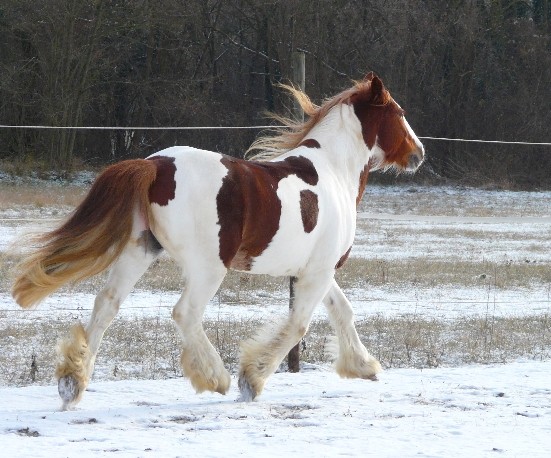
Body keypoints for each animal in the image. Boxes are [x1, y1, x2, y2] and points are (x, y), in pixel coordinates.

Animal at [10, 73, 424, 410]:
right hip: (209, 266)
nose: (419, 152)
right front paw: (251, 380)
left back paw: (71, 384)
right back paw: (215, 377)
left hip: (140, 251)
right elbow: (298, 326)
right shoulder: (317, 273)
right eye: (399, 112)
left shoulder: (316, 271)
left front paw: (364, 366)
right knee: (185, 312)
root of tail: (155, 165)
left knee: (107, 304)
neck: (334, 173)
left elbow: (342, 311)